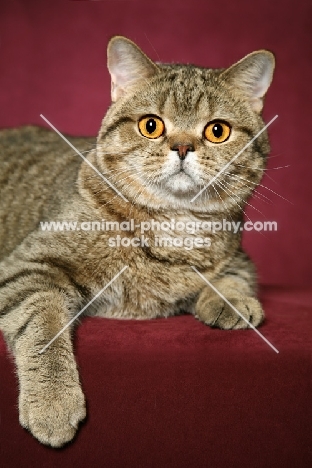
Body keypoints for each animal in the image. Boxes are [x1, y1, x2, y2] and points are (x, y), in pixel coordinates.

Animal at [0, 35, 272, 446]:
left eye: (217, 131)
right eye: (151, 125)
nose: (182, 147)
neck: (174, 224)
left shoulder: (239, 256)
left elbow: (232, 277)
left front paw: (232, 301)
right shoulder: (29, 266)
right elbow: (42, 326)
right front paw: (53, 402)